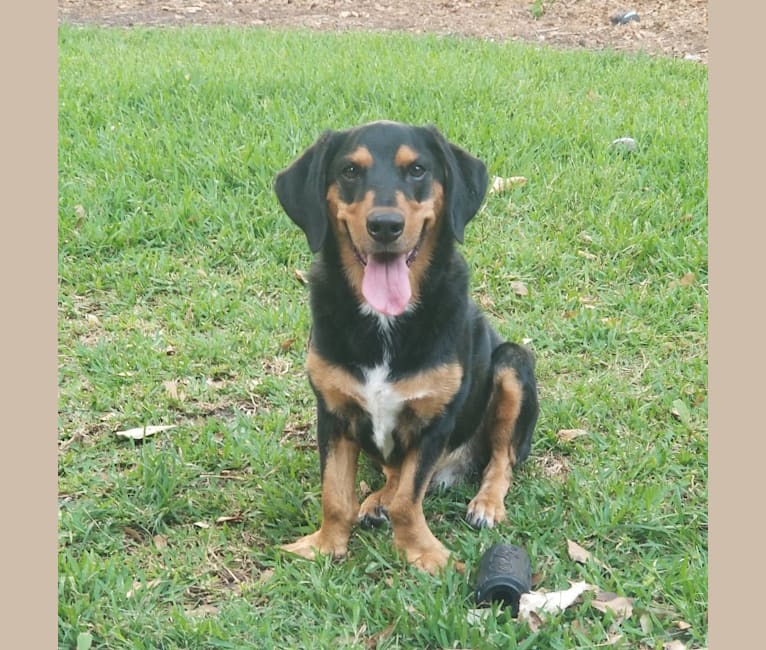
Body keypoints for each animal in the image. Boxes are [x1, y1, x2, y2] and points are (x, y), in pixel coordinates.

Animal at [276, 121, 540, 572]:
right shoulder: (333, 413)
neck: (385, 322)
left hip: (512, 363)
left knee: (501, 459)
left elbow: (408, 500)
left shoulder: (435, 421)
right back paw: (376, 500)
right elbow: (336, 496)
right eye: (349, 170)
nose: (385, 225)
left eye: (417, 169)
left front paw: (423, 553)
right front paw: (325, 546)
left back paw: (486, 503)